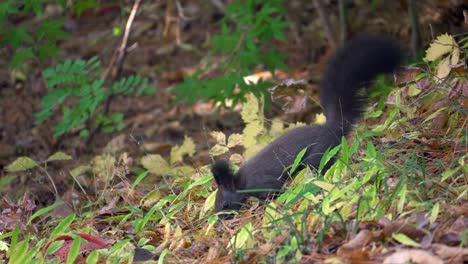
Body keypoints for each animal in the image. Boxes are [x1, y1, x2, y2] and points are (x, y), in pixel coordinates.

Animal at [210, 34, 400, 217]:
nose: (221, 219)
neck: (241, 181)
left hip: (318, 154)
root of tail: (332, 127)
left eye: (225, 204)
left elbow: (274, 189)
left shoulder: (262, 182)